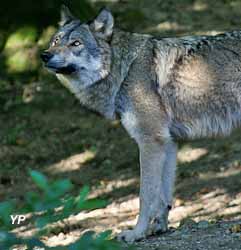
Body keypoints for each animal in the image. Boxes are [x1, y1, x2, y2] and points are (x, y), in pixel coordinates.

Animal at [41, 5, 241, 243]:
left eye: (76, 43)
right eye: (56, 40)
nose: (45, 55)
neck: (123, 69)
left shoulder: (150, 141)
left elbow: (145, 195)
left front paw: (136, 233)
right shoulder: (169, 143)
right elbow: (163, 196)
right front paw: (158, 227)